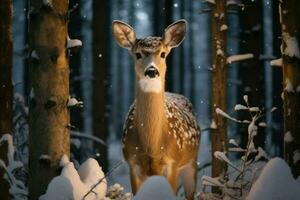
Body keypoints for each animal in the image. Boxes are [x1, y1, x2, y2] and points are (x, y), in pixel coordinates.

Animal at [111, 19, 200, 200]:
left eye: (163, 54)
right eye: (138, 54)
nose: (152, 70)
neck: (152, 145)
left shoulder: (172, 162)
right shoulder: (133, 164)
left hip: (192, 162)